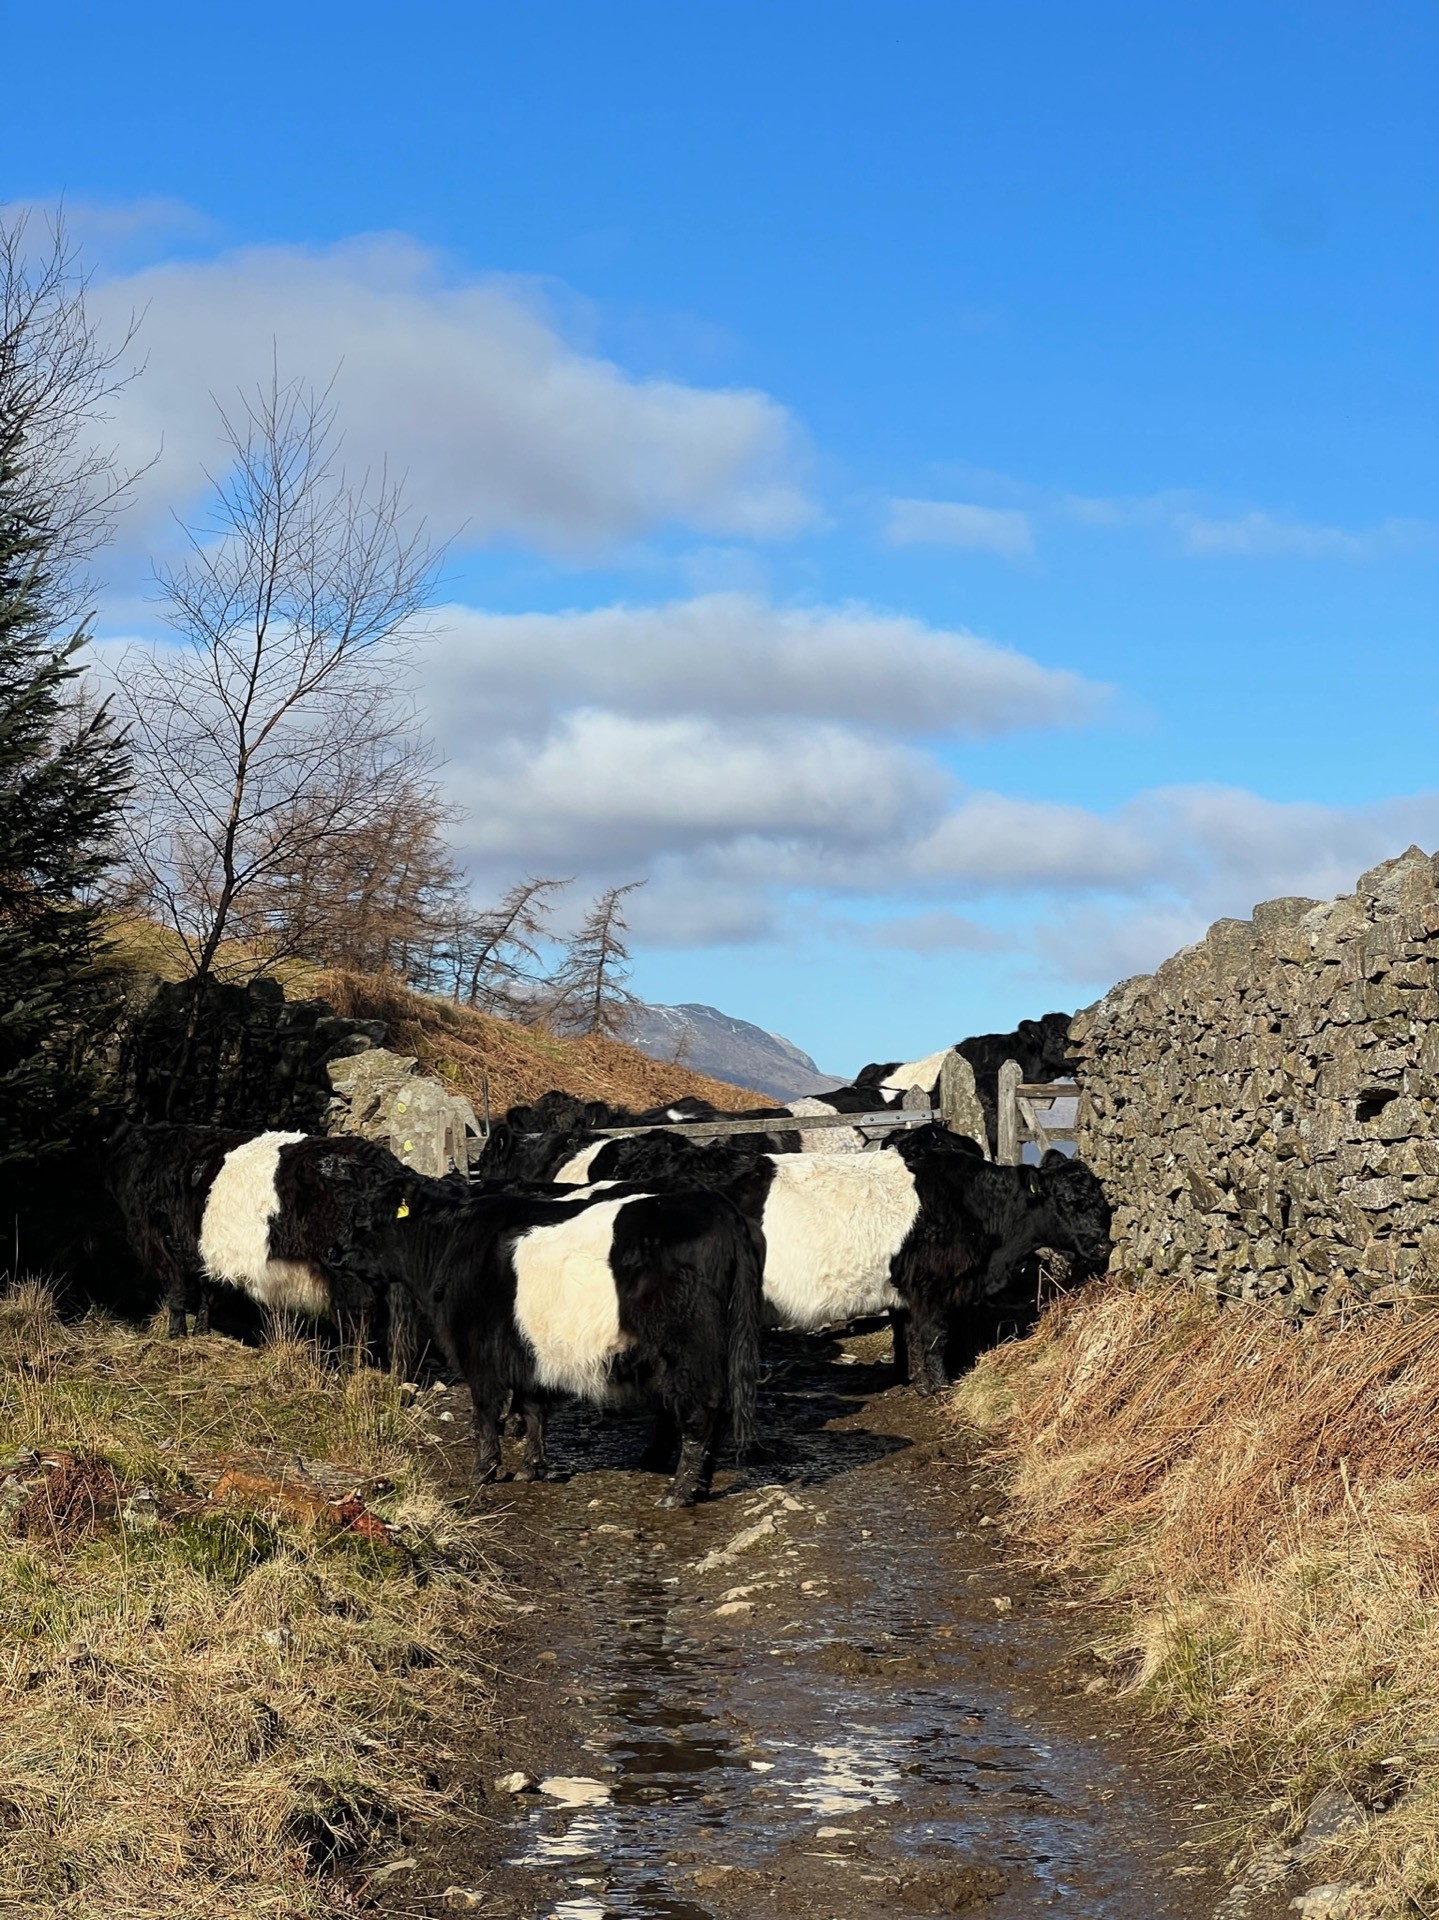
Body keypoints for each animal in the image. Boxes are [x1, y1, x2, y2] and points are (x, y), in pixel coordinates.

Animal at [341, 1175, 764, 1505]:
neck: (451, 1242)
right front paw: (531, 1468)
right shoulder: (528, 1350)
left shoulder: (478, 1351)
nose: (338, 1254)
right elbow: (533, 1408)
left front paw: (483, 1471)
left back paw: (679, 1491)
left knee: (700, 1408)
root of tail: (715, 1205)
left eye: (366, 1219)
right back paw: (696, 1484)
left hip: (686, 1348)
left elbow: (486, 1411)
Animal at [537, 1121, 1114, 1397]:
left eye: (1103, 1201)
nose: (1105, 1245)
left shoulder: (903, 1290)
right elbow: (931, 1339)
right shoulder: (931, 1288)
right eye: (1071, 1201)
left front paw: (911, 1380)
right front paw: (937, 1388)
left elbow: (909, 1336)